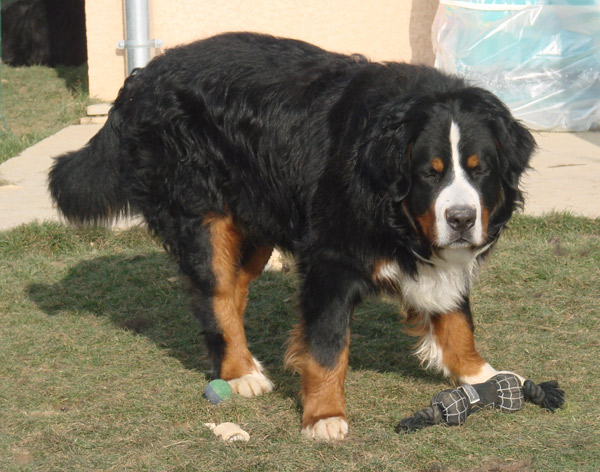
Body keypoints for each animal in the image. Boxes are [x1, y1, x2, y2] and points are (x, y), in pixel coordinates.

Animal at [48, 32, 536, 438]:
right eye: (429, 174)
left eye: (480, 169)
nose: (460, 219)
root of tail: (145, 76)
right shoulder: (330, 260)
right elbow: (327, 347)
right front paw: (324, 416)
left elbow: (457, 318)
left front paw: (482, 375)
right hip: (202, 213)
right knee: (216, 293)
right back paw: (240, 372)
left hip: (257, 219)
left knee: (235, 290)